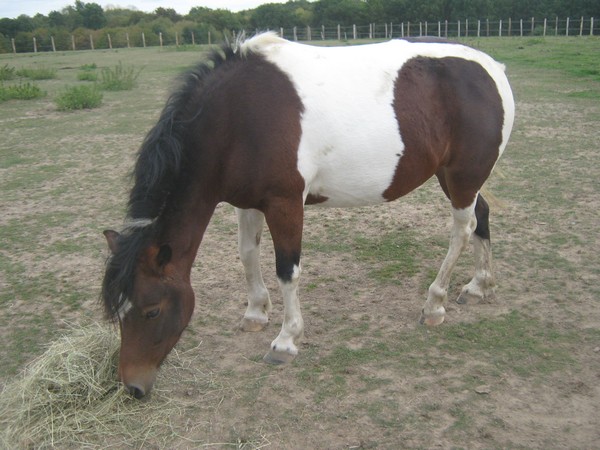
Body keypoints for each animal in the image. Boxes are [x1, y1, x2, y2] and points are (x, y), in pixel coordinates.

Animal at [102, 32, 516, 398]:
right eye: (119, 313)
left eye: (152, 311)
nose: (133, 387)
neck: (238, 116)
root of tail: (491, 66)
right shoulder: (247, 202)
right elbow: (247, 255)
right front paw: (255, 312)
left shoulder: (285, 203)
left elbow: (287, 270)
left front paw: (286, 340)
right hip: (455, 177)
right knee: (481, 217)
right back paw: (479, 285)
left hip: (462, 177)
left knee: (462, 229)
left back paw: (434, 304)